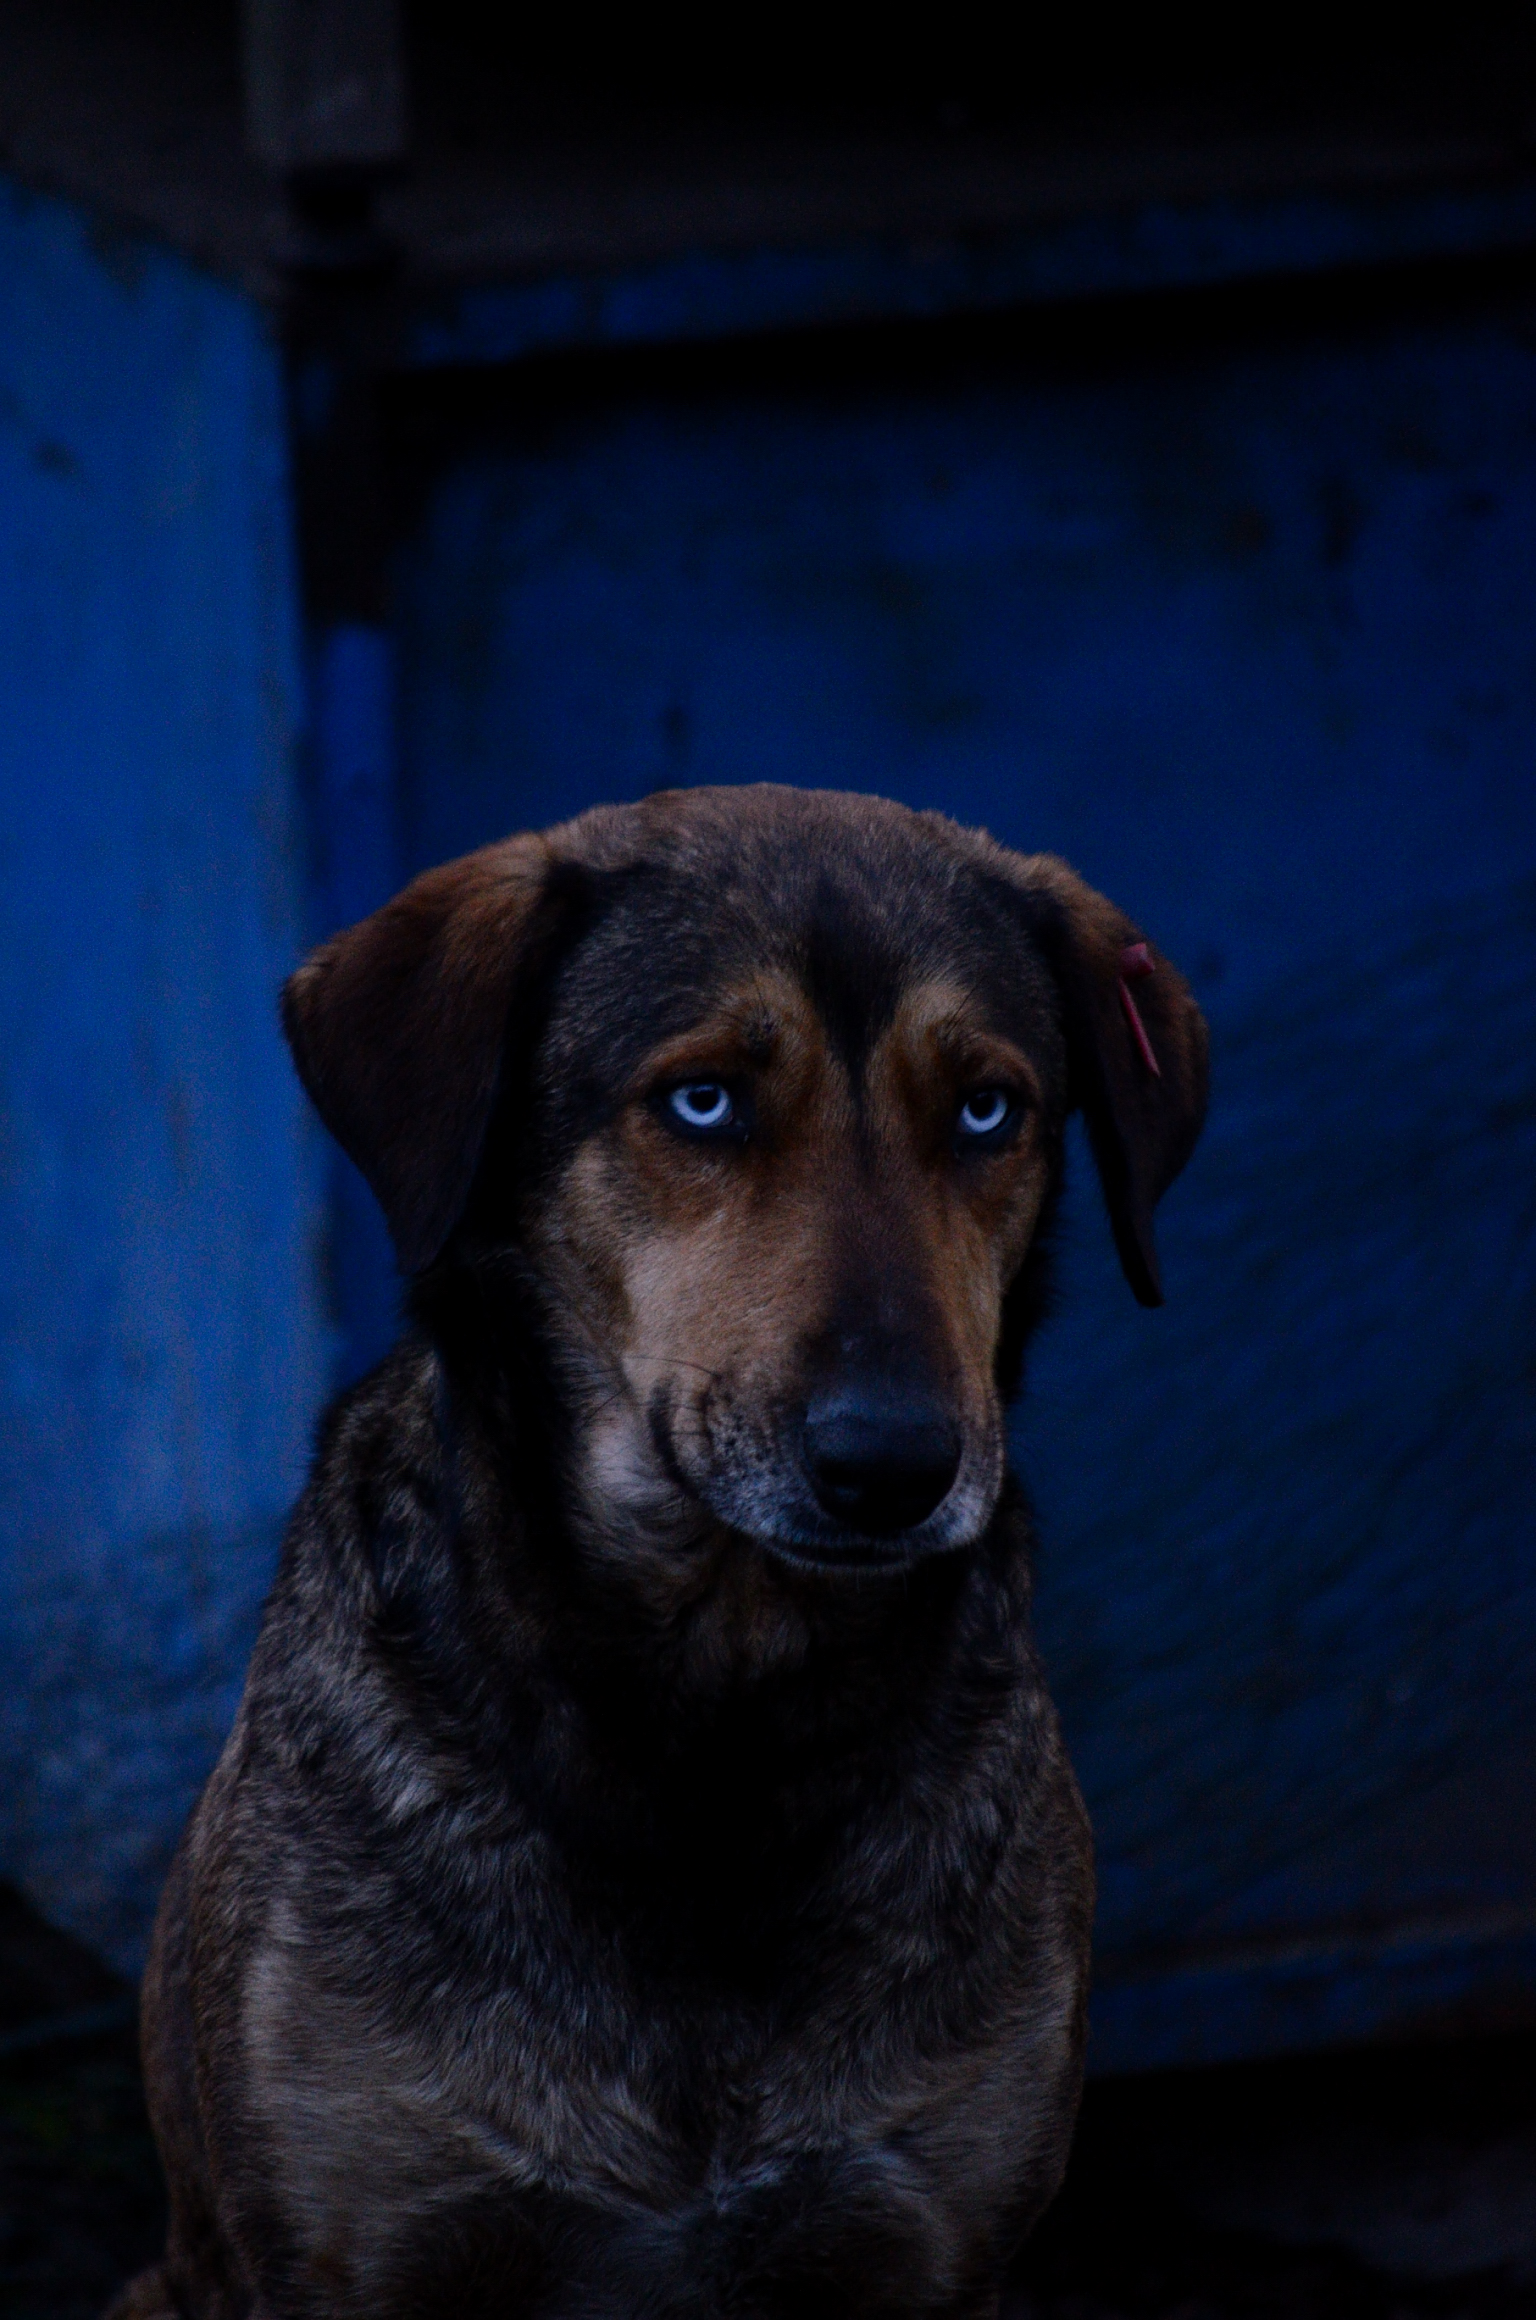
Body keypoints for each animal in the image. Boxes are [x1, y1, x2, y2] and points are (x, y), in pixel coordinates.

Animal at [111, 788, 1215, 2310]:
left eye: (990, 1108)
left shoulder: (935, 2235)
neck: (712, 1713)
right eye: (704, 1101)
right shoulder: (353, 2243)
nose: (894, 1464)